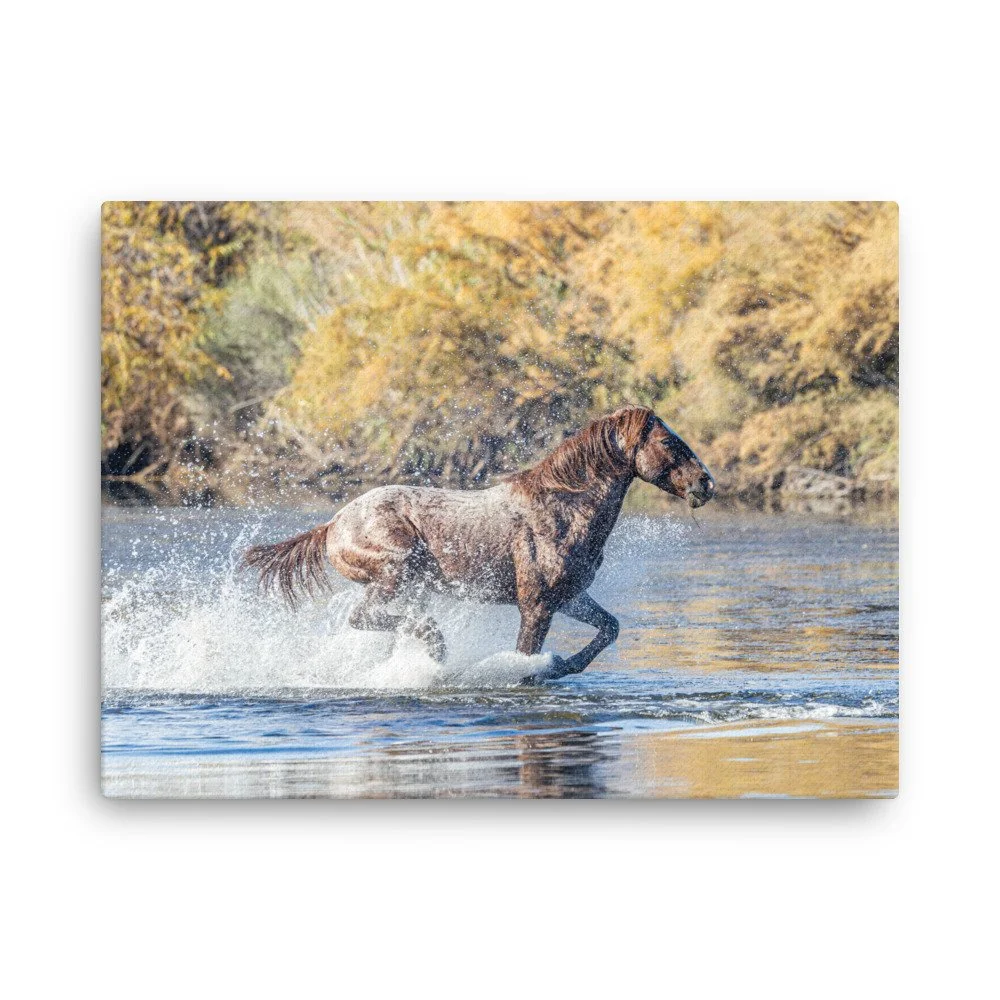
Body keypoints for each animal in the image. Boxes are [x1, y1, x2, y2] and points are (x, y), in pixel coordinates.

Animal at [244, 406, 715, 682]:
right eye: (667, 441)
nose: (706, 484)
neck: (563, 510)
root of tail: (334, 523)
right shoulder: (536, 606)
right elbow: (526, 657)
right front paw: (537, 671)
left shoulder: (569, 597)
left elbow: (609, 629)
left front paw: (564, 666)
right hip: (395, 570)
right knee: (364, 617)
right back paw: (436, 645)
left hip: (412, 586)